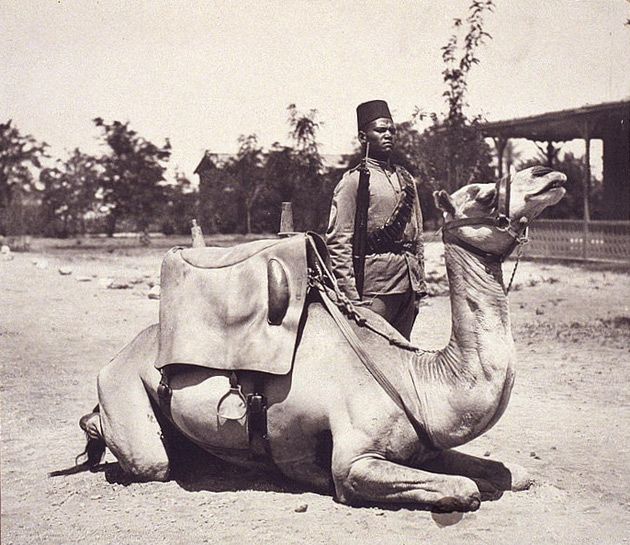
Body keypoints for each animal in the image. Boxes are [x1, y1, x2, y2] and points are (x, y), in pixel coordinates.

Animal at [78, 165, 568, 510]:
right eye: (484, 193)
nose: (550, 174)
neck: (417, 379)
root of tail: (116, 357)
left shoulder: (425, 451)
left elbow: (512, 473)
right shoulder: (354, 463)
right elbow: (466, 488)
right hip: (124, 395)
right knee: (150, 459)